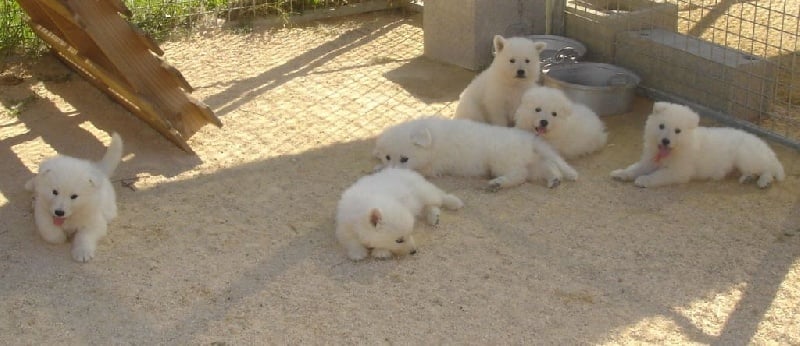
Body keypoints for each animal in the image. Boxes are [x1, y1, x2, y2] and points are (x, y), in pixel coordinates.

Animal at [25, 132, 123, 262]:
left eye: (74, 196)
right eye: (54, 192)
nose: (59, 212)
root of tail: (98, 169)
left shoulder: (96, 223)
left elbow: (84, 235)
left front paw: (82, 252)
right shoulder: (43, 215)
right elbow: (51, 233)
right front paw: (61, 237)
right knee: (36, 180)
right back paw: (30, 188)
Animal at [372, 117, 580, 191]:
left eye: (404, 159)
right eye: (388, 157)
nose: (389, 173)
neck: (432, 140)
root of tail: (529, 139)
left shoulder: (433, 166)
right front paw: (378, 166)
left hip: (501, 160)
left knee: (519, 175)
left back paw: (498, 183)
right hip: (533, 163)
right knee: (548, 166)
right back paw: (554, 180)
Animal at [608, 102, 784, 188]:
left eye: (677, 131)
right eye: (661, 126)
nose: (665, 141)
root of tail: (767, 149)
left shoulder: (678, 171)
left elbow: (658, 175)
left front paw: (644, 180)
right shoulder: (648, 161)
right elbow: (635, 168)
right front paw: (622, 173)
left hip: (746, 157)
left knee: (767, 170)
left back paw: (763, 181)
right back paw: (748, 178)